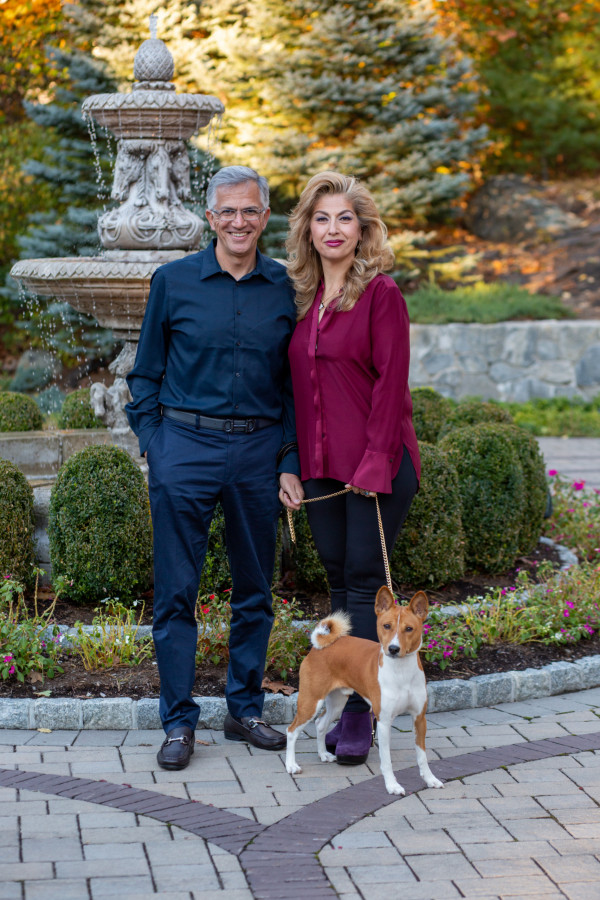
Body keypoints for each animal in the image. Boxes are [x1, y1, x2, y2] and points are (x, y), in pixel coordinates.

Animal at [284, 588, 442, 800]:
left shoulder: (419, 718)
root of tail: (320, 646)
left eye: (409, 628)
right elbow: (387, 761)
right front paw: (392, 786)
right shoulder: (383, 721)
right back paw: (291, 765)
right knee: (292, 730)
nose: (393, 649)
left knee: (320, 724)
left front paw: (430, 779)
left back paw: (323, 754)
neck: (401, 673)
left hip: (337, 702)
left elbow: (422, 756)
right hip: (311, 701)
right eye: (386, 626)